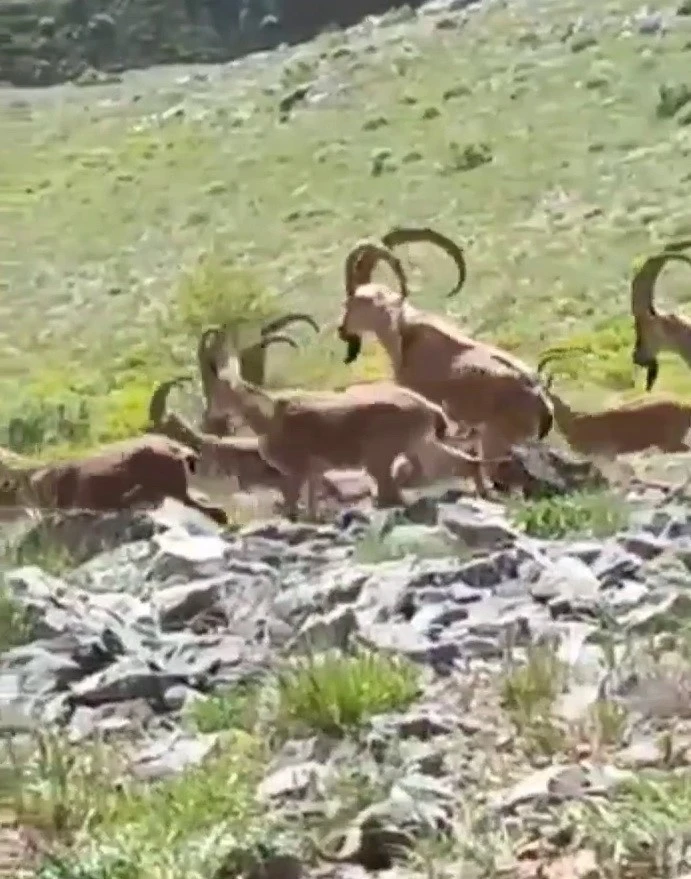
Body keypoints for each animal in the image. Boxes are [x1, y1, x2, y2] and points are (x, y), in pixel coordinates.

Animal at [204, 340, 508, 520]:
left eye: (215, 389)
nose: (210, 415)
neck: (267, 414)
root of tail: (429, 408)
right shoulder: (314, 473)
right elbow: (311, 508)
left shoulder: (295, 471)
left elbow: (291, 507)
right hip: (421, 445)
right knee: (462, 463)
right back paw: (483, 492)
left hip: (380, 455)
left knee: (392, 492)